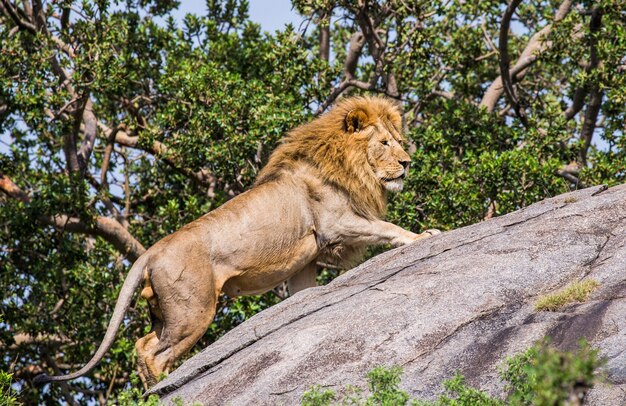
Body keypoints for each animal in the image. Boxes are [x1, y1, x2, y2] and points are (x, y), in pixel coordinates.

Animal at [33, 94, 434, 386]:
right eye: (384, 143)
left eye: (399, 142)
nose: (407, 163)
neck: (352, 165)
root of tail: (150, 252)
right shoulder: (336, 224)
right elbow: (388, 228)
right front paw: (425, 235)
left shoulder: (305, 261)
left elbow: (304, 293)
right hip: (194, 311)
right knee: (153, 353)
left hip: (167, 313)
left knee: (142, 344)